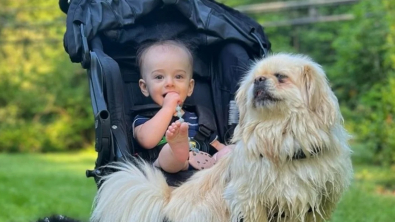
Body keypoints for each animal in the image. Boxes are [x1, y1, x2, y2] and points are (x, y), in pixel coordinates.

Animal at [89, 53, 352, 222]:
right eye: (254, 79)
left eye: (280, 77)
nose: (258, 81)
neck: (281, 134)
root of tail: (168, 200)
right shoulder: (250, 202)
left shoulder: (316, 204)